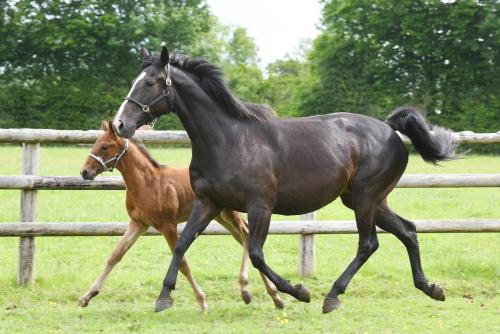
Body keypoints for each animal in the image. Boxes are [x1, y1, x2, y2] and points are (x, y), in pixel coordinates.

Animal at [77, 121, 282, 312]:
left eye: (105, 146)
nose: (84, 172)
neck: (147, 183)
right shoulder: (138, 224)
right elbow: (115, 255)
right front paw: (87, 296)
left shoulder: (168, 226)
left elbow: (182, 262)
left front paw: (201, 302)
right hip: (220, 216)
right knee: (244, 238)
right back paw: (272, 296)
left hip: (230, 213)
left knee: (247, 236)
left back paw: (255, 291)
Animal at [111, 46, 456, 314]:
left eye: (151, 82)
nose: (120, 124)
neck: (228, 140)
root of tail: (389, 129)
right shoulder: (208, 202)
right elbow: (182, 244)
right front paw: (163, 297)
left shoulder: (260, 206)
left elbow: (256, 253)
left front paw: (298, 292)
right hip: (369, 200)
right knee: (408, 231)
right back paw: (431, 288)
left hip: (364, 199)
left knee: (369, 243)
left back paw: (332, 297)